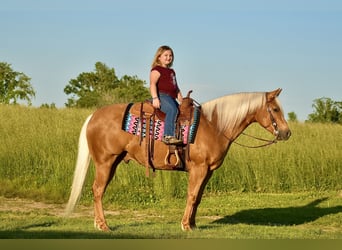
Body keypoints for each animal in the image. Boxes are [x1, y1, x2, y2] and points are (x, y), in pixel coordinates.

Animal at [65, 87, 292, 230]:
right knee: (98, 190)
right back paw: (104, 225)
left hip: (113, 162)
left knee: (98, 190)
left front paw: (193, 224)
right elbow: (191, 195)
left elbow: (198, 198)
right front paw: (185, 226)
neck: (214, 125)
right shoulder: (199, 169)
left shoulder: (208, 171)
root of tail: (93, 116)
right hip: (106, 162)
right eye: (275, 109)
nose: (286, 133)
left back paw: (98, 223)